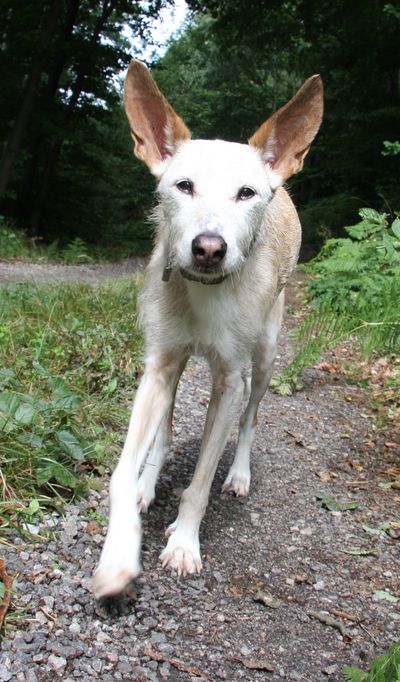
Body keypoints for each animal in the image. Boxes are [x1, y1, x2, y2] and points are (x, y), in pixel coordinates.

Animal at [93, 61, 322, 596]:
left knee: (250, 418)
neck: (205, 294)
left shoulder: (229, 379)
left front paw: (183, 542)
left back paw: (237, 473)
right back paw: (150, 482)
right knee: (164, 433)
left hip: (266, 356)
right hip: (175, 364)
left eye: (246, 193)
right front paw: (119, 552)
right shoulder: (158, 365)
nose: (209, 248)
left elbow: (199, 483)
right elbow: (123, 470)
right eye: (183, 186)